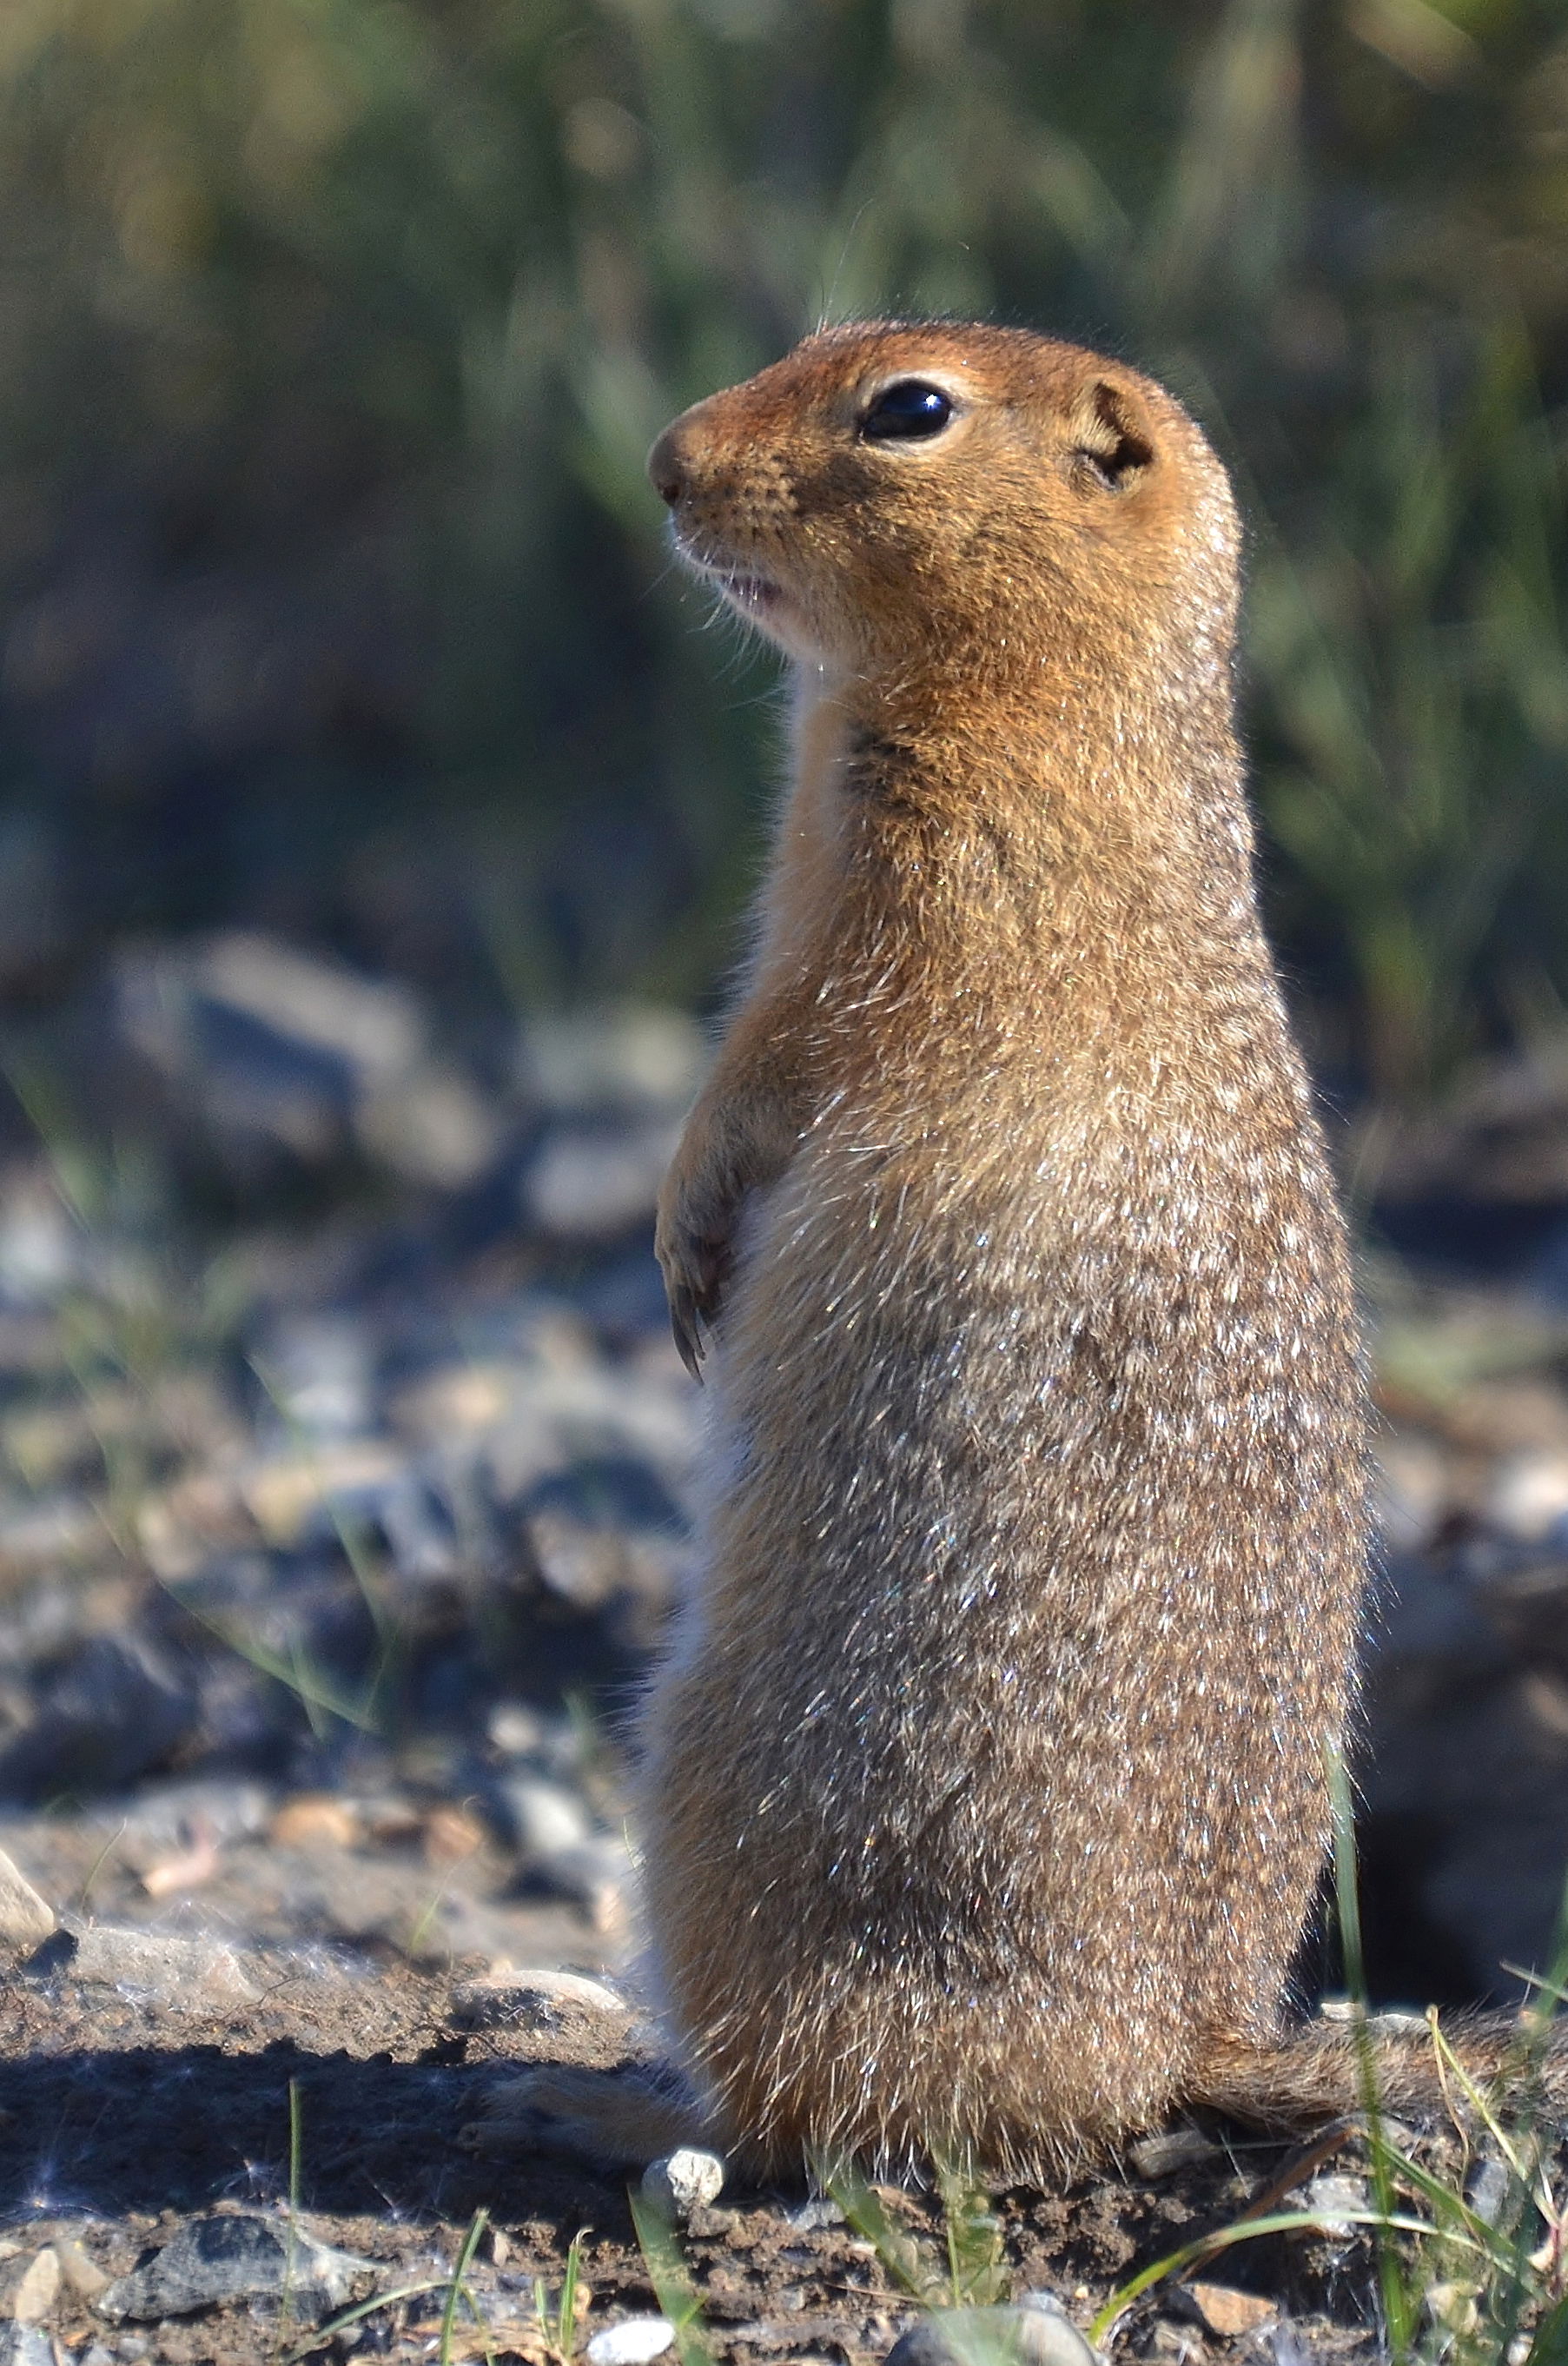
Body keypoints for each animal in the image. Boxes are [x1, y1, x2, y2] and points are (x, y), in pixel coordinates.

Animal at [482, 328, 1560, 2177]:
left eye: (911, 406)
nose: (664, 460)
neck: (1050, 702)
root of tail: (1179, 2040)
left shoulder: (905, 895)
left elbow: (772, 1062)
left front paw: (688, 1236)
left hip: (714, 1809)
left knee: (812, 2116)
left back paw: (592, 2102)